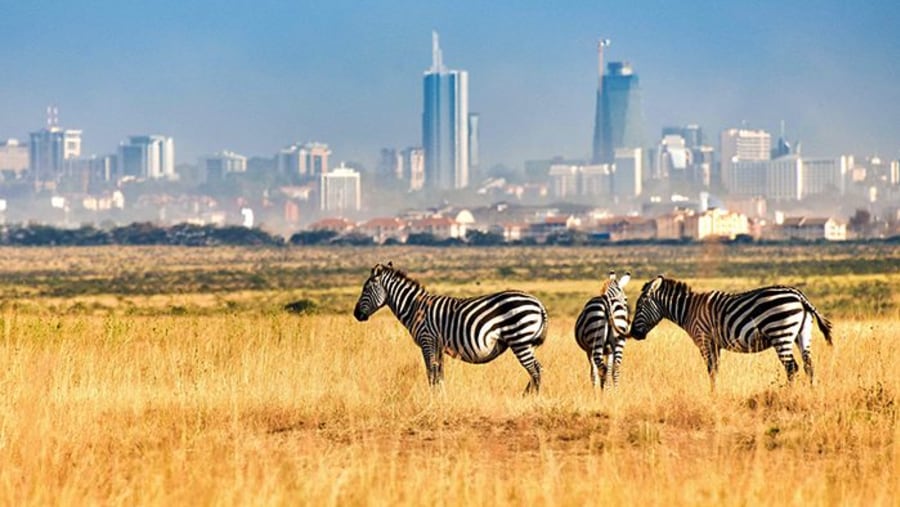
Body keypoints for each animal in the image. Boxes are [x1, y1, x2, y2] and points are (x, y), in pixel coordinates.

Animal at [352, 264, 548, 394]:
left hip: (519, 340)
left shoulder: (427, 340)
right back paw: (527, 396)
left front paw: (433, 398)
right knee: (537, 369)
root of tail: (538, 304)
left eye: (365, 289)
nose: (356, 314)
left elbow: (431, 372)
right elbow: (439, 374)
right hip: (526, 342)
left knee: (535, 370)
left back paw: (531, 398)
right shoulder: (437, 345)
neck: (415, 307)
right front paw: (441, 396)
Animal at [628, 274, 832, 388]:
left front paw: (712, 395)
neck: (688, 310)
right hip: (802, 335)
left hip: (780, 333)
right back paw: (811, 394)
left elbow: (710, 370)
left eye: (639, 307)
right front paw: (715, 392)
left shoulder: (704, 339)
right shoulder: (715, 344)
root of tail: (799, 296)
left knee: (792, 368)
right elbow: (716, 370)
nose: (633, 334)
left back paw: (788, 396)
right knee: (808, 366)